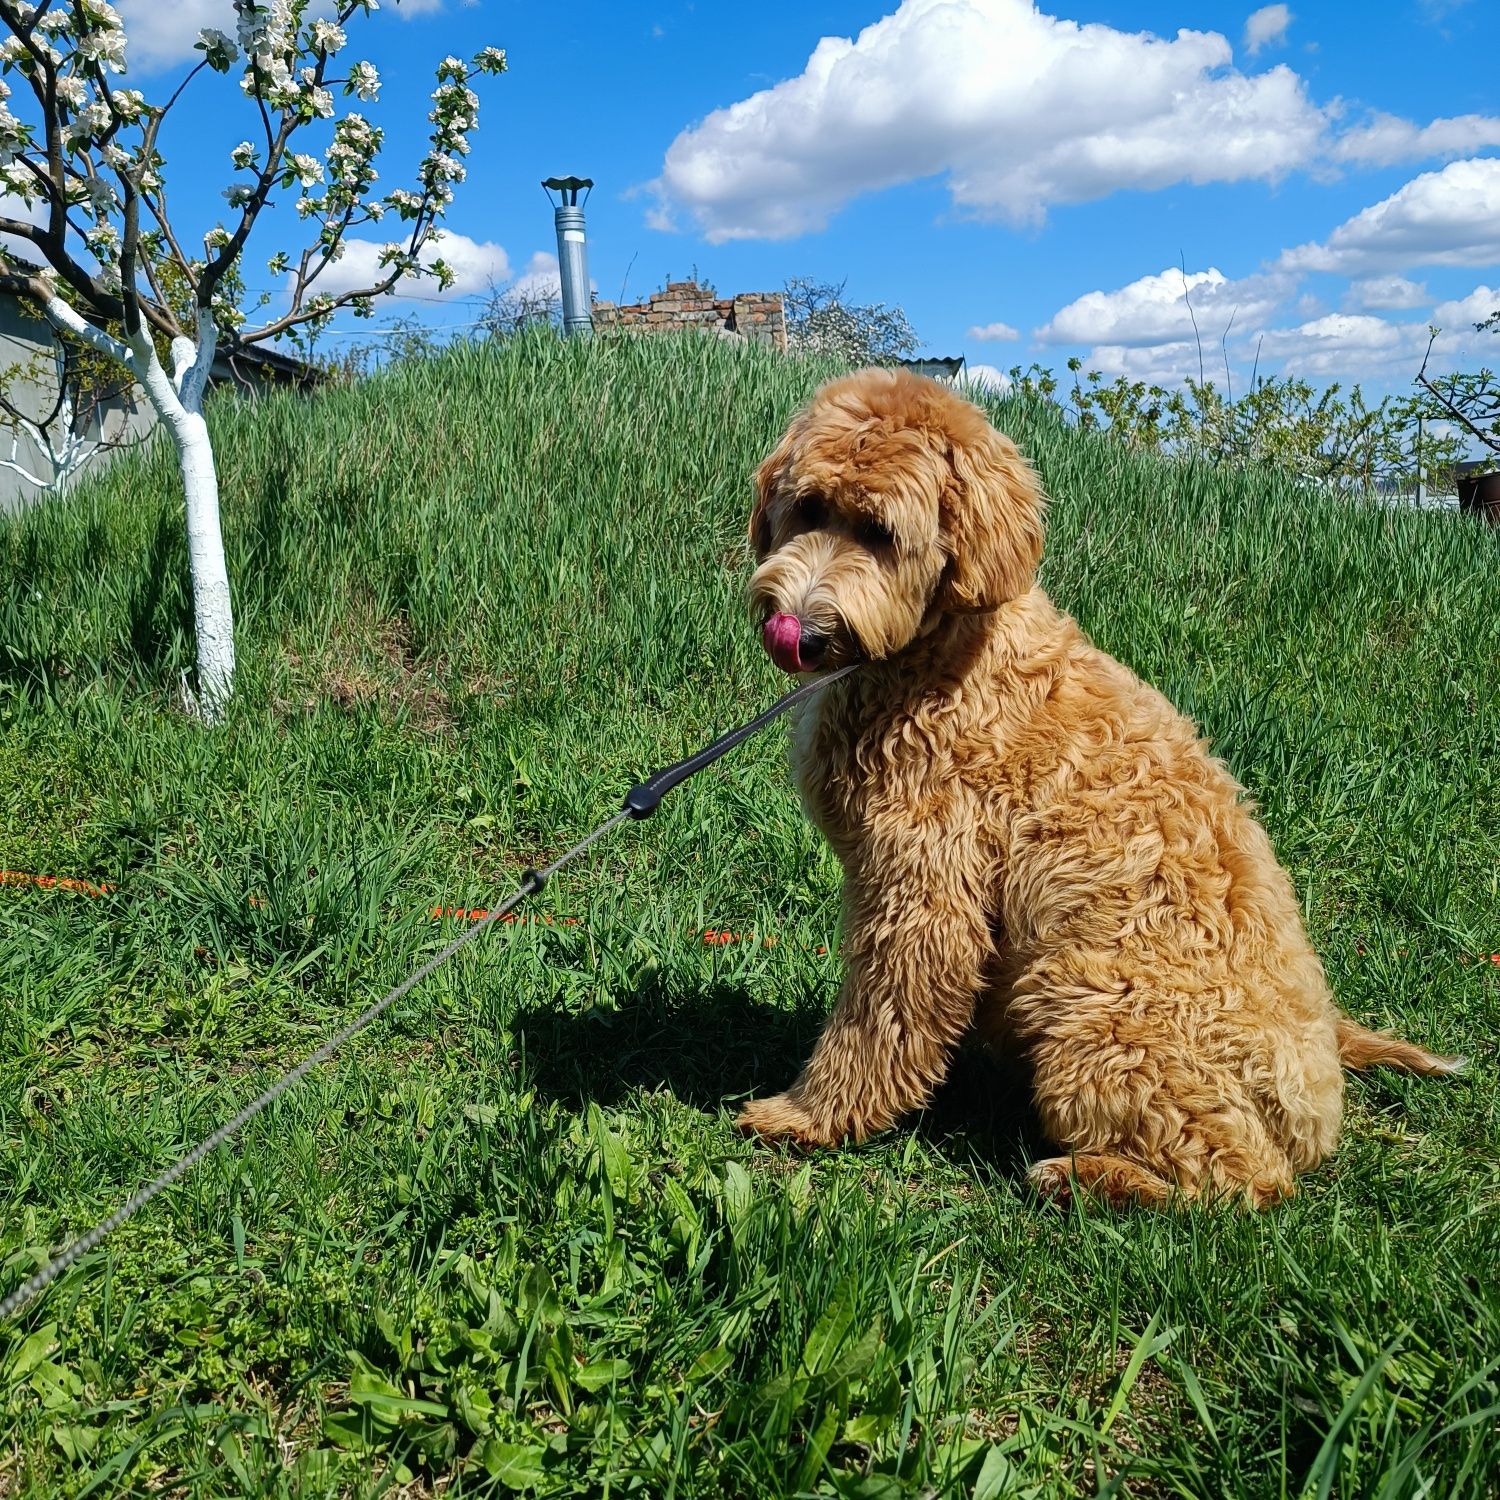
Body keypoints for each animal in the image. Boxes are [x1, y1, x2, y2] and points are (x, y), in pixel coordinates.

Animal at [741, 369, 1464, 1212]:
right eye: (809, 508)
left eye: (881, 533)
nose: (802, 630)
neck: (940, 653)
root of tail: (1319, 1091)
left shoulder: (926, 889)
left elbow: (878, 1020)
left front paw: (810, 1116)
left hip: (1094, 1005)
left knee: (1243, 1179)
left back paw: (1087, 1176)